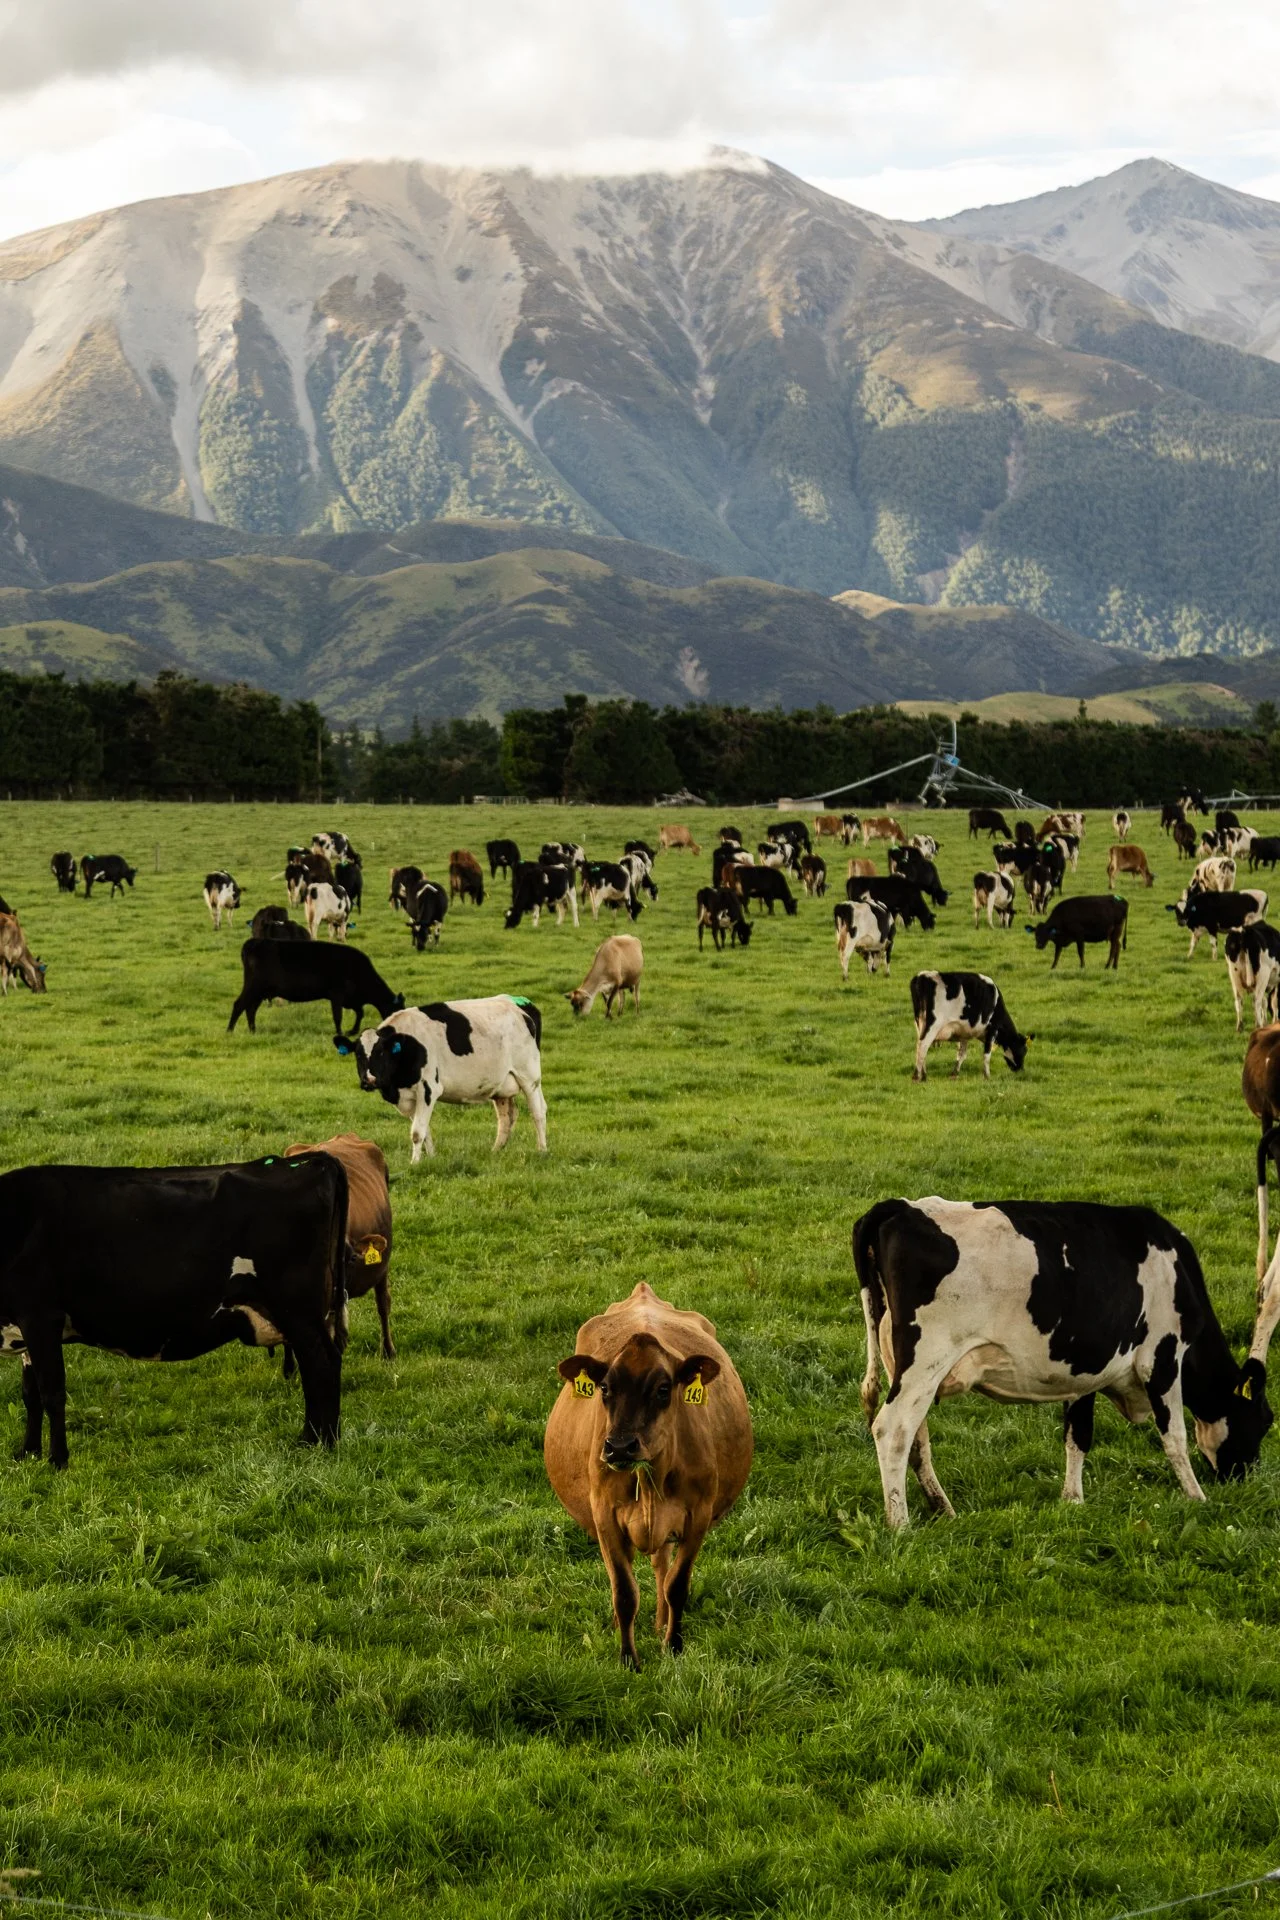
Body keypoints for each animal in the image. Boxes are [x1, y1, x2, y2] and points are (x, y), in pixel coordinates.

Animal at [0, 1155, 349, 1465]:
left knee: (321, 1364)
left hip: (297, 1310)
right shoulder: (25, 1328)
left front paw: (57, 1460)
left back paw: (319, 1443)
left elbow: (52, 1392)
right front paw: (27, 1453)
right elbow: (30, 1394)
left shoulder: (41, 1316)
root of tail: (312, 1160)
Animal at [228, 939, 403, 1037]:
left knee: (250, 1009)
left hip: (260, 991)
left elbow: (360, 1013)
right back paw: (229, 1031)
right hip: (254, 986)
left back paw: (253, 1031)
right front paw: (340, 1032)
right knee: (239, 1005)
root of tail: (254, 942)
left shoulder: (351, 999)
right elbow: (338, 1016)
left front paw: (351, 1031)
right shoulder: (337, 994)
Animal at [339, 997, 547, 1163]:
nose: (369, 1080)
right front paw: (431, 1158)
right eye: (358, 1054)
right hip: (501, 1086)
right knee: (506, 1117)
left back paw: (542, 1150)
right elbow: (425, 1130)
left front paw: (414, 1163)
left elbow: (417, 1132)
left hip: (529, 1077)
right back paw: (495, 1151)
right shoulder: (409, 1097)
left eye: (381, 1052)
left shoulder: (428, 1089)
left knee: (538, 1111)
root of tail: (520, 1004)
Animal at [544, 1281, 752, 1668]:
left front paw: (673, 1645)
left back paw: (659, 1624)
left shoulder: (698, 1514)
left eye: (663, 1389)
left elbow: (676, 1585)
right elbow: (624, 1591)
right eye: (605, 1388)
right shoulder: (604, 1514)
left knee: (660, 1565)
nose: (619, 1447)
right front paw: (628, 1659)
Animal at [853, 1198, 1272, 1528]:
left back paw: (943, 1508)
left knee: (916, 1436)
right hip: (926, 1360)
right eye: (1265, 1421)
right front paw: (1197, 1497)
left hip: (901, 1365)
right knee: (893, 1430)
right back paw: (901, 1524)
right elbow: (1176, 1437)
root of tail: (900, 1206)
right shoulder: (1162, 1359)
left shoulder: (1083, 1369)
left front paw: (1073, 1500)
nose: (1246, 1479)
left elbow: (1078, 1434)